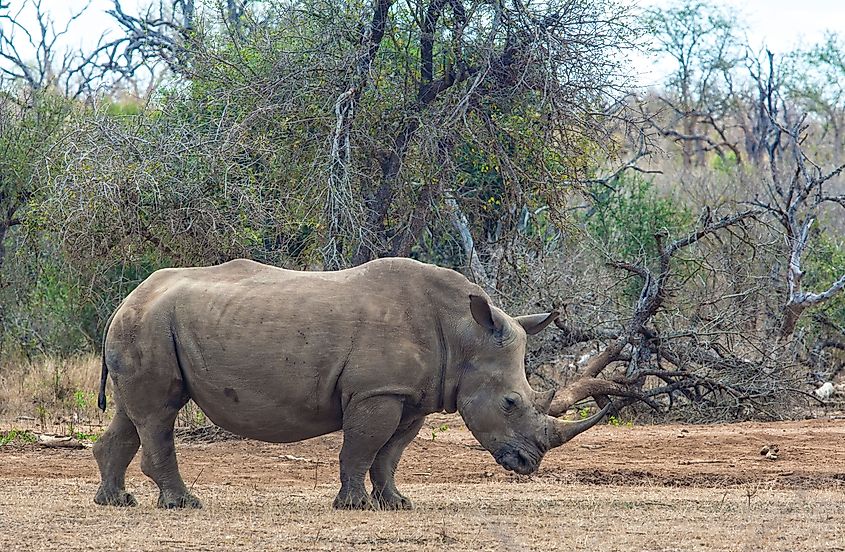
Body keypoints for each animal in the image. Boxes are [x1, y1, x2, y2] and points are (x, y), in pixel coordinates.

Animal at [93, 258, 608, 510]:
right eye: (510, 402)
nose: (529, 464)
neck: (466, 334)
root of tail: (128, 298)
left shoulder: (411, 395)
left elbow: (390, 454)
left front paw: (396, 504)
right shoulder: (376, 391)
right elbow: (362, 446)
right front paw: (355, 506)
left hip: (146, 325)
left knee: (133, 414)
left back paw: (118, 501)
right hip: (150, 325)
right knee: (159, 413)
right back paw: (183, 504)